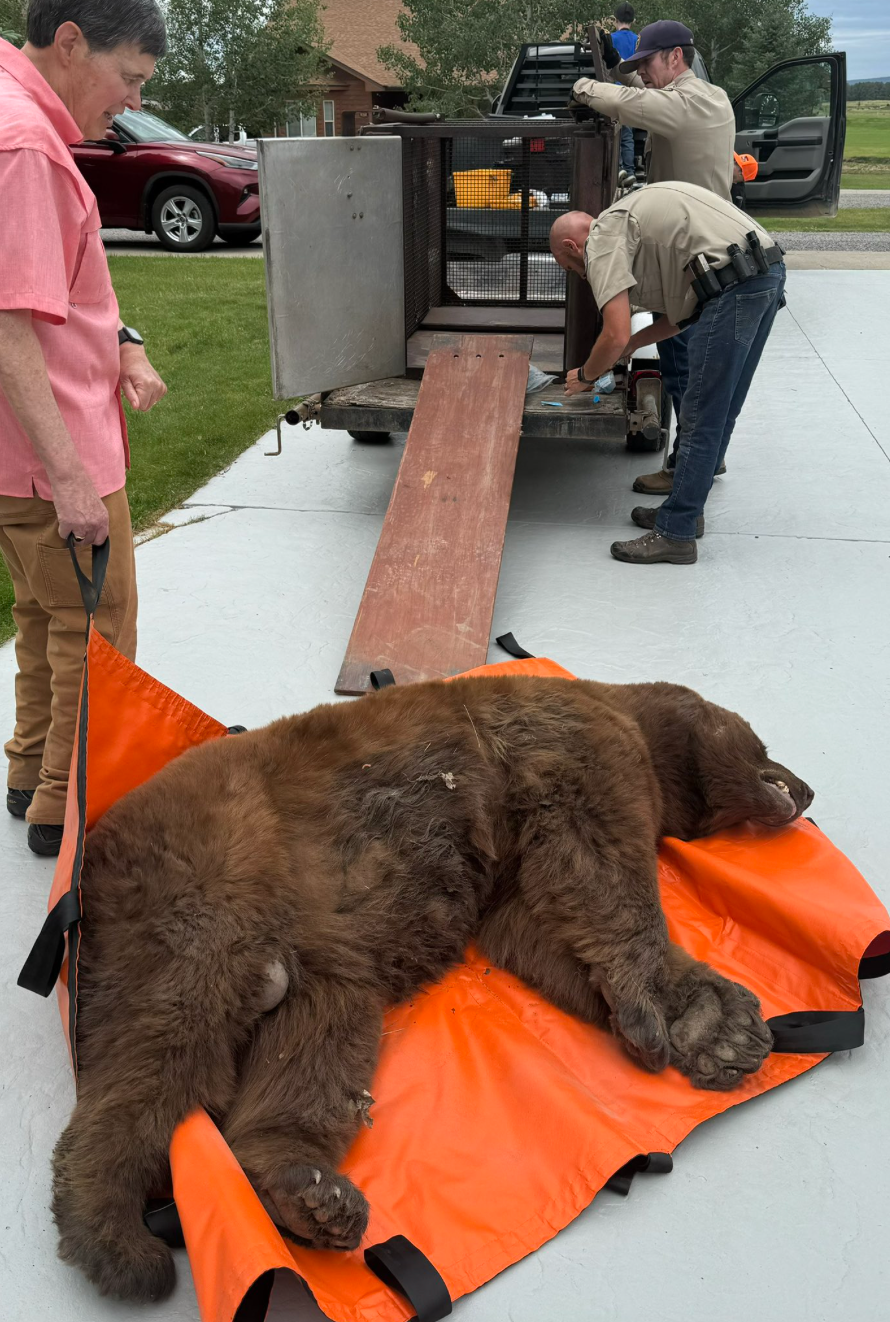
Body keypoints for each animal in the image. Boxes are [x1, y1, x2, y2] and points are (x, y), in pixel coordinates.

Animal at [50, 671, 814, 1300]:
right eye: (764, 742)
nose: (805, 789)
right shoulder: (573, 742)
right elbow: (598, 860)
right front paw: (710, 1018)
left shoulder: (509, 867)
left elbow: (547, 926)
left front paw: (706, 1030)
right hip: (211, 883)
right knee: (164, 1049)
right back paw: (115, 1237)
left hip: (315, 959)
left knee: (315, 1044)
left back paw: (305, 1189)